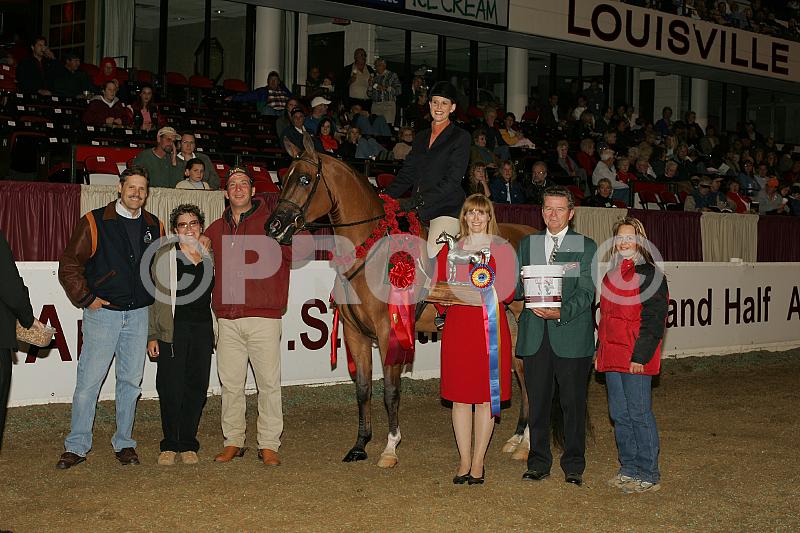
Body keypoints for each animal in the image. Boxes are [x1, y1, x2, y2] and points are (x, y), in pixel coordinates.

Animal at [267, 133, 535, 468]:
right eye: (282, 180)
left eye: (304, 179)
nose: (274, 227)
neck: (367, 251)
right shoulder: (355, 334)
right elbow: (363, 389)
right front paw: (360, 445)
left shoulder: (388, 332)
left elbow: (390, 391)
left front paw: (390, 447)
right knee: (522, 374)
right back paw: (517, 438)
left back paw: (526, 443)